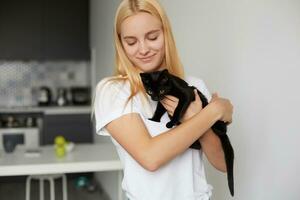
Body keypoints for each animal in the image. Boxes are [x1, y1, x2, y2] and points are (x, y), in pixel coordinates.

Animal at [139, 69, 236, 197]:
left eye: (161, 90)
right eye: (150, 91)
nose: (155, 98)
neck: (170, 87)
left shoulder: (187, 93)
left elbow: (178, 109)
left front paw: (171, 122)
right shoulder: (163, 102)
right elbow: (158, 111)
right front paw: (154, 119)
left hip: (211, 114)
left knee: (219, 129)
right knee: (197, 144)